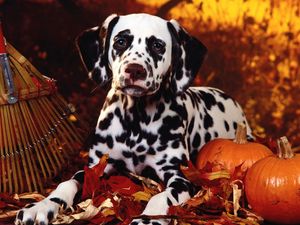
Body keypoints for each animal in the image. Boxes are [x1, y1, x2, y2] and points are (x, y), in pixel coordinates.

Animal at [15, 13, 251, 225]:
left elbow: (162, 197)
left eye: (157, 45)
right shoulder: (97, 167)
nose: (135, 70)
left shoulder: (181, 177)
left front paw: (148, 218)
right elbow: (66, 183)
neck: (136, 121)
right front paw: (41, 206)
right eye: (120, 41)